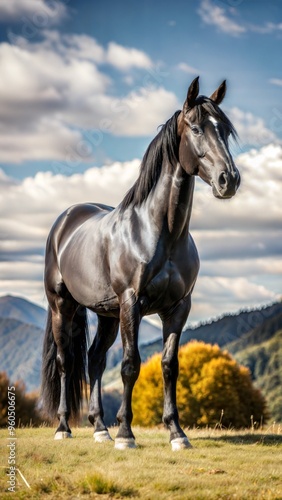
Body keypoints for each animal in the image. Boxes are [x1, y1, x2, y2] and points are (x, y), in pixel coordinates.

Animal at [41, 77, 240, 450]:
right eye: (196, 127)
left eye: (225, 130)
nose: (229, 180)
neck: (159, 232)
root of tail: (65, 221)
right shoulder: (131, 303)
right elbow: (130, 364)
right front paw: (126, 434)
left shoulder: (178, 307)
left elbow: (169, 365)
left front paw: (177, 433)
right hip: (63, 306)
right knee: (66, 361)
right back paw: (64, 427)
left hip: (106, 314)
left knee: (94, 359)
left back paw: (99, 428)